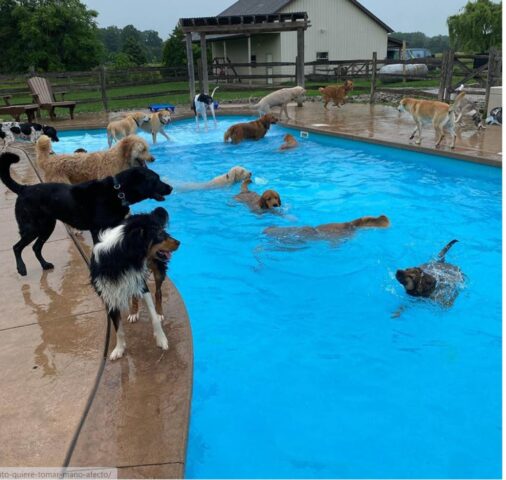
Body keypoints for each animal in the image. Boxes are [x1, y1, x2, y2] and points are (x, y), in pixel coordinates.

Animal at [0, 152, 173, 276]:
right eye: (155, 179)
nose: (170, 188)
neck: (118, 192)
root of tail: (24, 188)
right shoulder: (98, 230)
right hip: (33, 228)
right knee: (17, 247)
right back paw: (21, 268)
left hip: (47, 227)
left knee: (36, 248)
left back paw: (45, 265)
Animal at [91, 207, 182, 360]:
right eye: (159, 234)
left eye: (162, 231)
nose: (179, 242)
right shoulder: (109, 293)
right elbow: (118, 328)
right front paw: (119, 349)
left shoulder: (142, 284)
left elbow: (153, 315)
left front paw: (161, 339)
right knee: (134, 295)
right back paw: (134, 312)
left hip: (158, 269)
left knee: (158, 292)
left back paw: (160, 312)